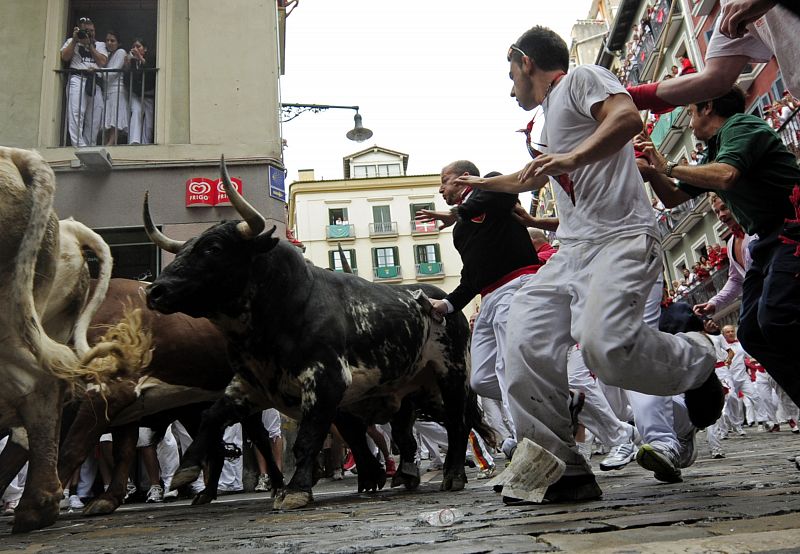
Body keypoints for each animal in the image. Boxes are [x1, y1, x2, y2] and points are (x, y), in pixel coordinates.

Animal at [145, 157, 494, 506]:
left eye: (213, 248)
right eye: (184, 250)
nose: (155, 291)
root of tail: (440, 300)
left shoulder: (326, 380)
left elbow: (307, 440)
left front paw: (296, 489)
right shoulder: (249, 386)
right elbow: (212, 418)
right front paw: (186, 470)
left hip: (451, 373)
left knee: (458, 422)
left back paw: (453, 474)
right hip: (420, 388)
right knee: (430, 427)